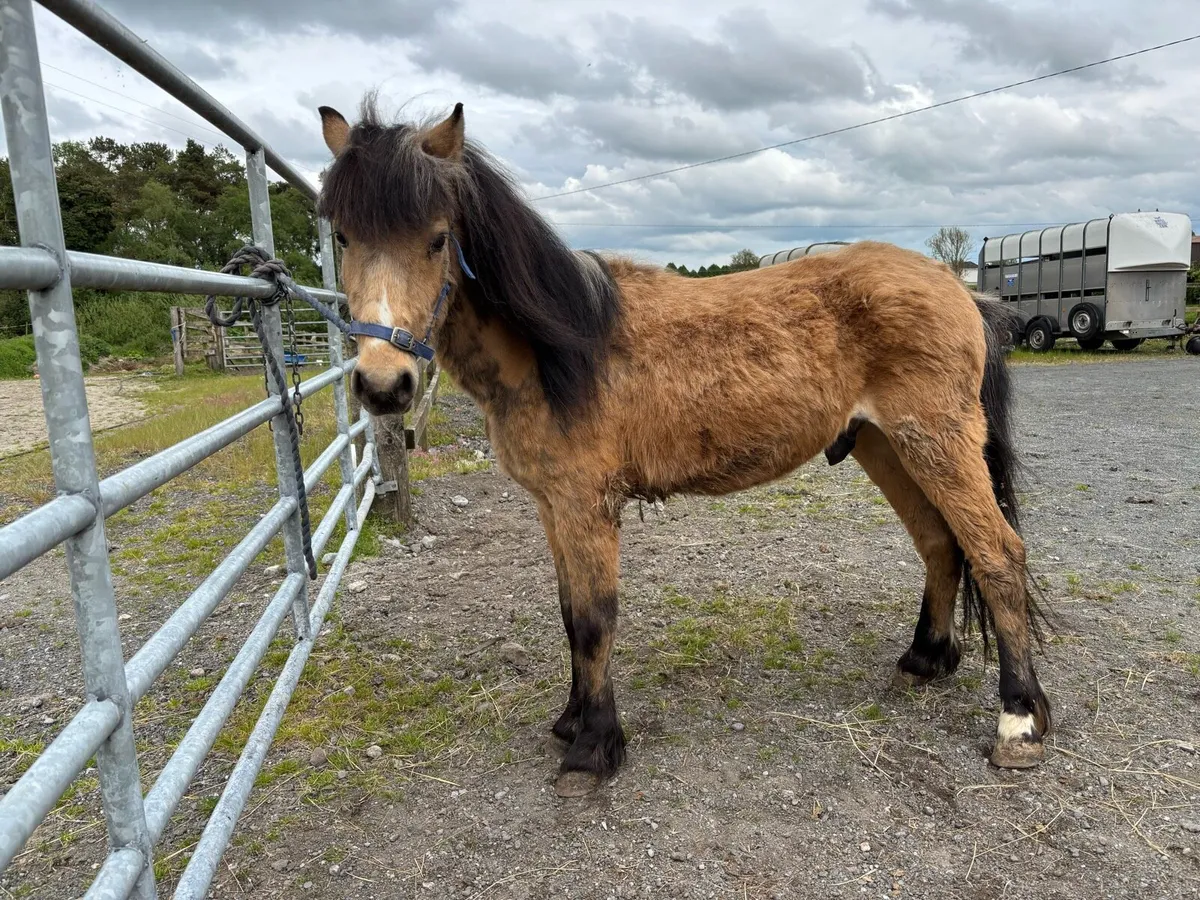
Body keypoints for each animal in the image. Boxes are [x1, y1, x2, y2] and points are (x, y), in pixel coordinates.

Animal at [314, 95, 1052, 797]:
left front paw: (592, 750)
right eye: (343, 235)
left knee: (997, 555)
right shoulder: (553, 506)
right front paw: (571, 722)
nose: (383, 385)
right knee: (939, 544)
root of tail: (959, 289)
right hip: (885, 445)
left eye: (438, 239)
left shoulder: (585, 505)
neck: (560, 350)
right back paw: (925, 660)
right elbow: (567, 614)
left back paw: (1018, 722)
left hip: (936, 442)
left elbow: (594, 620)